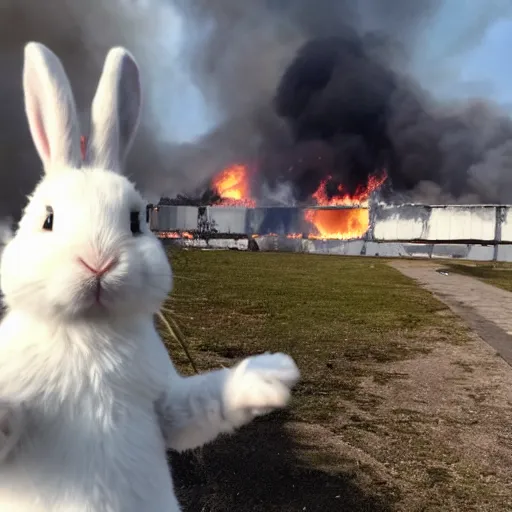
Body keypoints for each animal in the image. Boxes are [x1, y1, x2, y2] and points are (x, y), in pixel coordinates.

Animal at [0, 42, 300, 510]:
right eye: (48, 219)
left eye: (136, 220)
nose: (99, 263)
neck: (89, 332)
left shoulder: (164, 401)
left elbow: (197, 404)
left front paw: (270, 373)